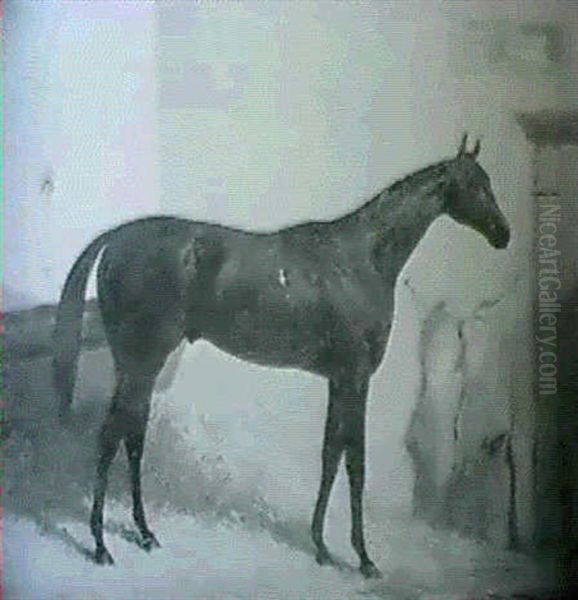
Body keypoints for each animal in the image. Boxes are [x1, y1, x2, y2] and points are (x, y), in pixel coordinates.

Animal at [51, 135, 506, 576]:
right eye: (475, 184)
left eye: (488, 181)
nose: (504, 234)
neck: (360, 260)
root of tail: (115, 238)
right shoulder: (357, 377)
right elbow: (355, 462)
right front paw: (363, 559)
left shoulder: (339, 379)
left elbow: (330, 455)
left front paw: (321, 547)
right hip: (141, 362)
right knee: (111, 436)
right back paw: (100, 545)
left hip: (139, 366)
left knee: (132, 436)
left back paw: (145, 534)